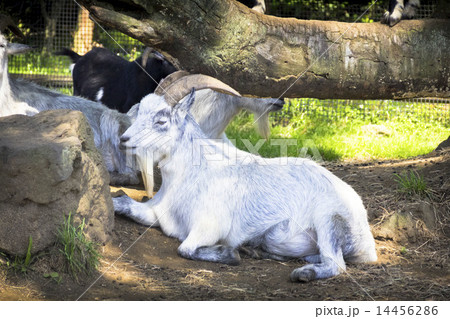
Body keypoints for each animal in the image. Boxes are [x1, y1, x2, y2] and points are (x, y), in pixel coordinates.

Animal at [114, 89, 378, 282]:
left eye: (161, 121)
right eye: (138, 114)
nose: (124, 139)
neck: (191, 175)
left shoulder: (209, 226)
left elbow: (185, 249)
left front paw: (229, 253)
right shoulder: (156, 212)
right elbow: (124, 202)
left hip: (328, 218)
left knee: (336, 264)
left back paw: (303, 273)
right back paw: (258, 250)